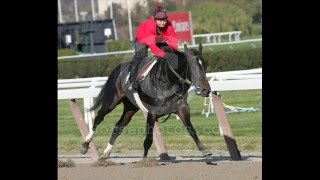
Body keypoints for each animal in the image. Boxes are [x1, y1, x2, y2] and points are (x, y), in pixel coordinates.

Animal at [81, 43, 212, 159]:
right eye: (193, 66)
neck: (167, 82)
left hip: (130, 107)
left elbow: (191, 130)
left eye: (204, 65)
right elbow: (148, 139)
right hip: (111, 101)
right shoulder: (152, 112)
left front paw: (204, 150)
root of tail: (117, 69)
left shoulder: (181, 108)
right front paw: (144, 160)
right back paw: (86, 143)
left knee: (118, 126)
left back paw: (106, 153)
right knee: (99, 117)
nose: (206, 90)